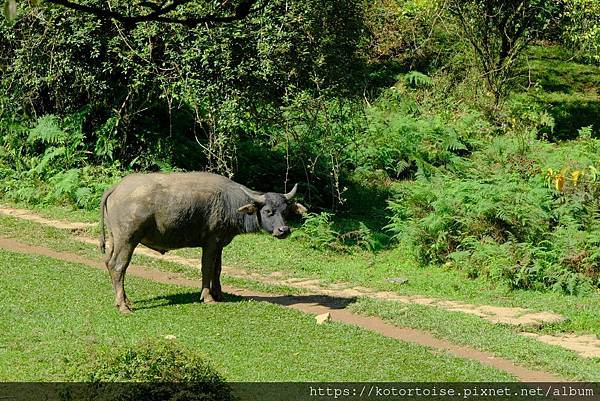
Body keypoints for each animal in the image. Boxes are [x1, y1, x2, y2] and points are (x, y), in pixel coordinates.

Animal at [100, 172, 308, 312]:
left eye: (285, 211)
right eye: (267, 211)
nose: (283, 230)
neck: (230, 203)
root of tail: (116, 188)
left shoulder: (220, 243)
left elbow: (218, 269)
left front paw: (220, 294)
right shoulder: (210, 242)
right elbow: (207, 268)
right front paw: (208, 297)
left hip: (115, 239)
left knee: (109, 262)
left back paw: (124, 300)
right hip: (127, 239)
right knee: (118, 265)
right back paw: (123, 306)